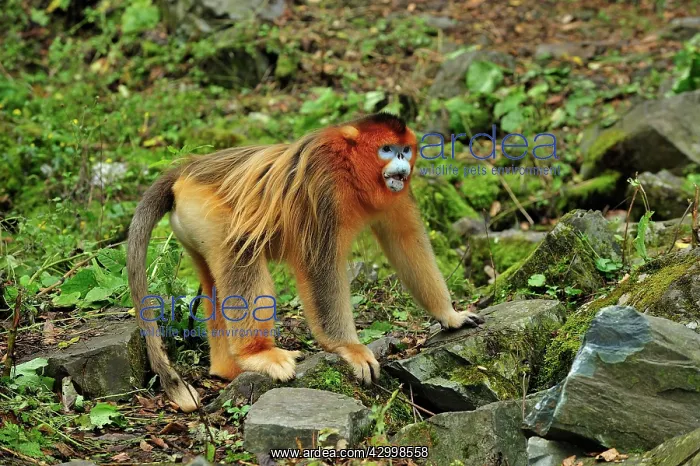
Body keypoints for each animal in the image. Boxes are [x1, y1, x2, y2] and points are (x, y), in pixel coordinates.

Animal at [127, 113, 485, 412]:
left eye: (404, 151)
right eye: (386, 149)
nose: (401, 164)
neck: (349, 167)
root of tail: (188, 168)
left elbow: (406, 242)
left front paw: (449, 315)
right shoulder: (323, 187)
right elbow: (318, 265)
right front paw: (348, 348)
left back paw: (228, 368)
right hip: (204, 210)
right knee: (241, 250)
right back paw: (256, 354)